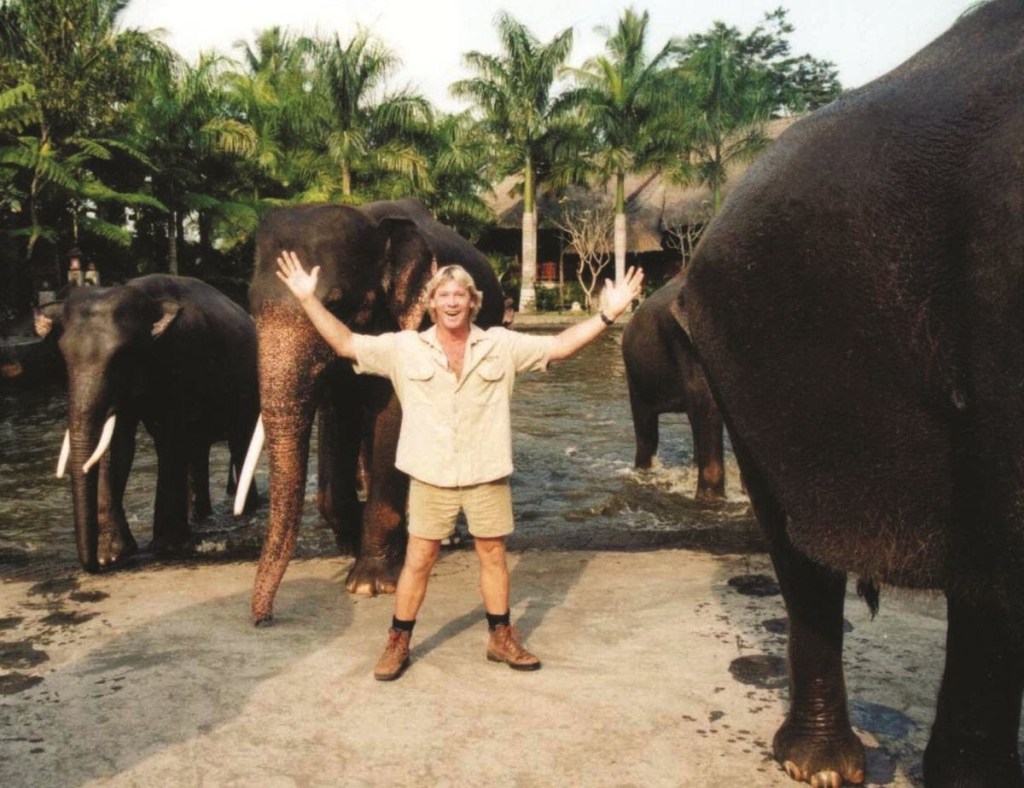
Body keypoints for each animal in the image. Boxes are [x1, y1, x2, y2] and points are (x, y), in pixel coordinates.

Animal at [36, 275, 260, 572]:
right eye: (63, 357)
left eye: (122, 356)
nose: (93, 566)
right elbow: (117, 445)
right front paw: (113, 555)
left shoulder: (186, 358)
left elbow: (170, 440)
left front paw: (167, 547)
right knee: (198, 454)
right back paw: (201, 518)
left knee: (239, 446)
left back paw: (245, 512)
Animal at [243, 197, 504, 625]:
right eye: (249, 309)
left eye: (333, 303)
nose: (262, 619)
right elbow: (338, 417)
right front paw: (350, 547)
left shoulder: (403, 325)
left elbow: (391, 418)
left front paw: (370, 584)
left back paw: (446, 537)